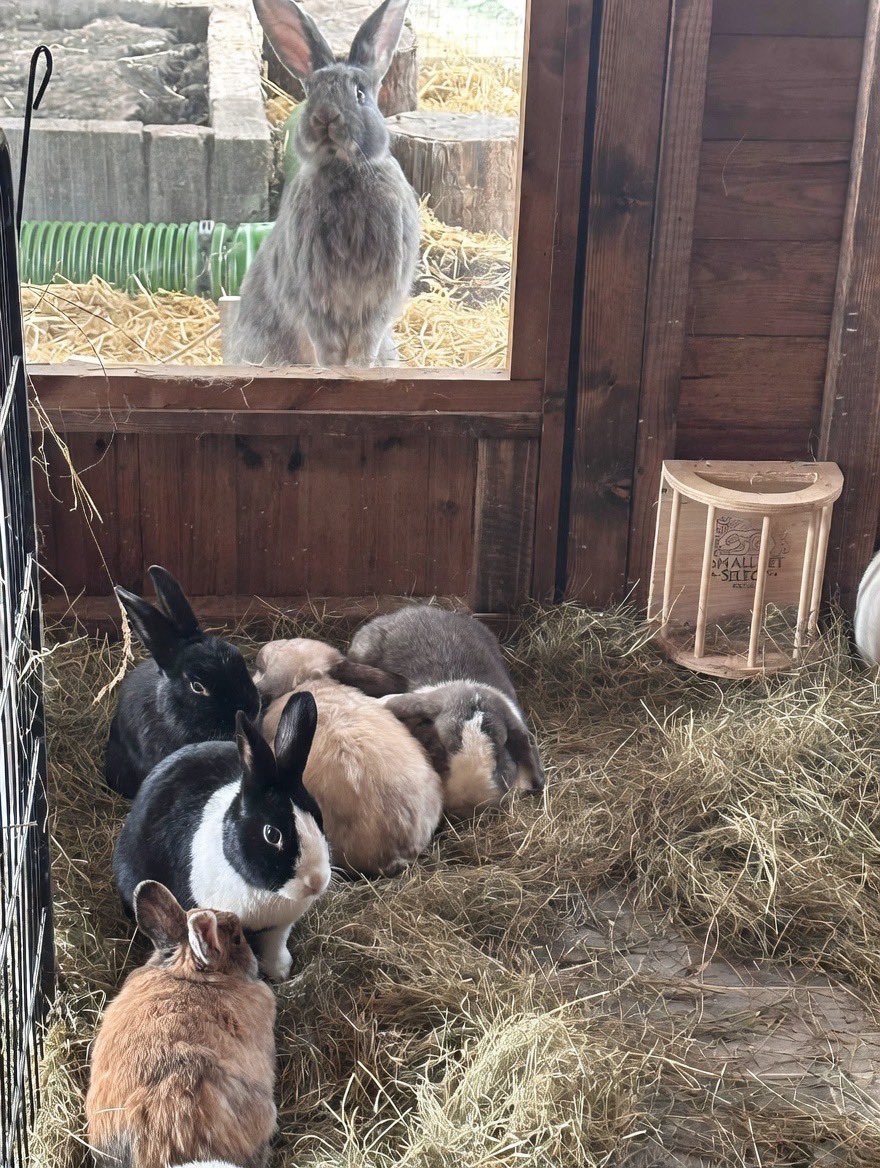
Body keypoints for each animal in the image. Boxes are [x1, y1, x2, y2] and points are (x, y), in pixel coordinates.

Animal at [113, 692, 330, 981]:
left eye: (318, 816)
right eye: (272, 834)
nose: (316, 882)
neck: (262, 891)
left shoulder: (280, 926)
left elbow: (276, 944)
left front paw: (280, 973)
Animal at [230, 0, 420, 367]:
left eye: (360, 94)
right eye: (312, 93)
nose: (325, 116)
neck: (345, 170)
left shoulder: (379, 298)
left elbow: (365, 343)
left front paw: (359, 369)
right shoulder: (314, 299)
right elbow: (328, 345)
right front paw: (333, 369)